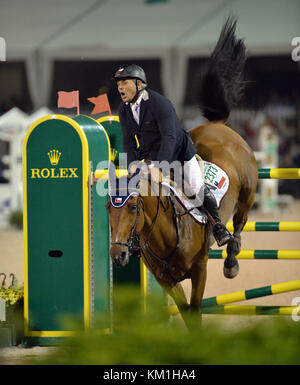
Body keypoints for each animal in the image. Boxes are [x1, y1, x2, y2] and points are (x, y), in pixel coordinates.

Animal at [105, 17, 258, 328]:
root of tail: (217, 125)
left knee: (238, 225)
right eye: (108, 209)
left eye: (134, 207)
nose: (118, 255)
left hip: (247, 192)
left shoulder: (199, 270)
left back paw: (231, 261)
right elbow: (186, 313)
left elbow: (195, 313)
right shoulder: (166, 279)